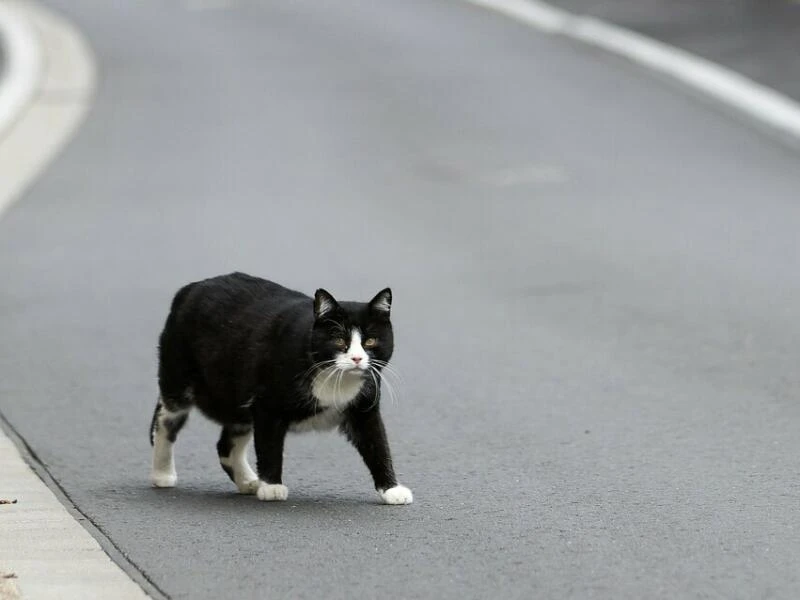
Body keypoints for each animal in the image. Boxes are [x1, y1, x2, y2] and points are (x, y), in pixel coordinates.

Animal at [148, 274, 412, 504]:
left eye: (370, 341)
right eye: (339, 340)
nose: (357, 358)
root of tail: (191, 287)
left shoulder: (363, 409)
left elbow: (377, 444)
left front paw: (392, 490)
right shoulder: (267, 406)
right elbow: (269, 446)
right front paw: (272, 487)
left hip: (236, 396)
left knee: (226, 443)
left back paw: (248, 482)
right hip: (178, 377)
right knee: (165, 421)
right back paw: (162, 474)